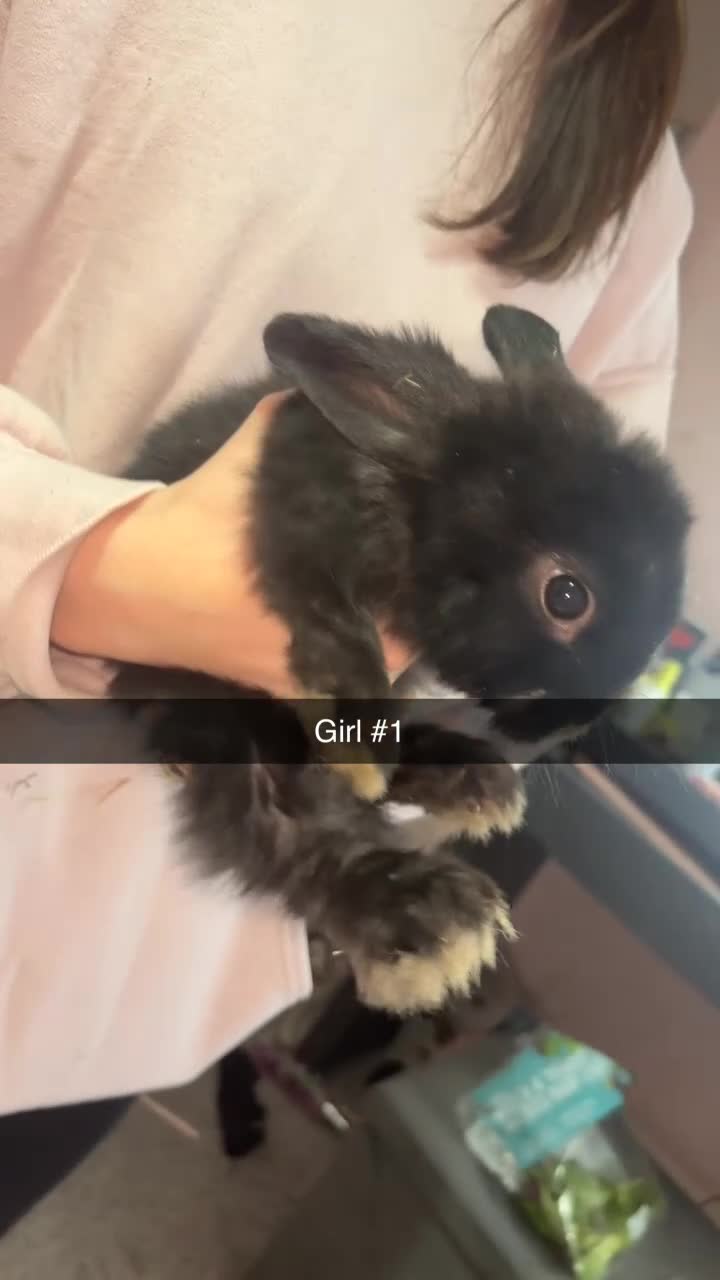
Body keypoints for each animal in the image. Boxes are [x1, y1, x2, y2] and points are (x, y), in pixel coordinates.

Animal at [111, 304, 690, 1014]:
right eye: (566, 596)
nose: (576, 721)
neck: (419, 507)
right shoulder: (302, 525)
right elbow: (328, 618)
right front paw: (356, 736)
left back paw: (476, 782)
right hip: (224, 728)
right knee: (286, 835)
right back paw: (434, 918)